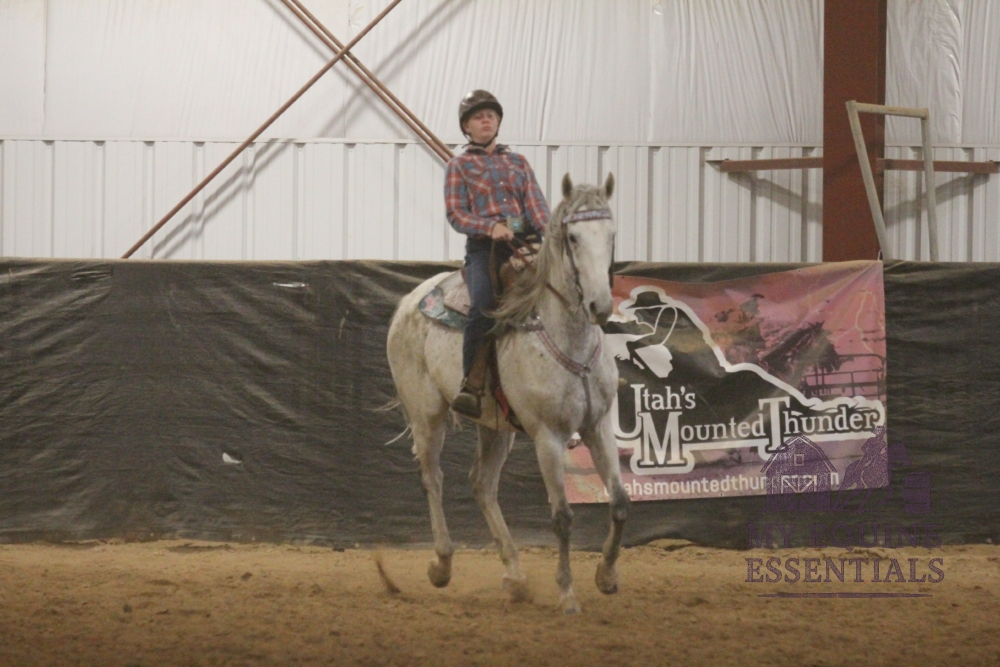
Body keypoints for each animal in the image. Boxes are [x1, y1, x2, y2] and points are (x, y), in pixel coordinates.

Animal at [386, 173, 630, 614]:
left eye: (611, 234)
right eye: (572, 238)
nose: (600, 304)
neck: (568, 338)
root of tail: (410, 300)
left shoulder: (598, 426)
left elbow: (619, 503)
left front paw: (606, 576)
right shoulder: (548, 437)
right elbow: (562, 516)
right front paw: (567, 593)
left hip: (495, 425)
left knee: (482, 483)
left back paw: (515, 577)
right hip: (426, 413)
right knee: (433, 478)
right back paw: (441, 565)